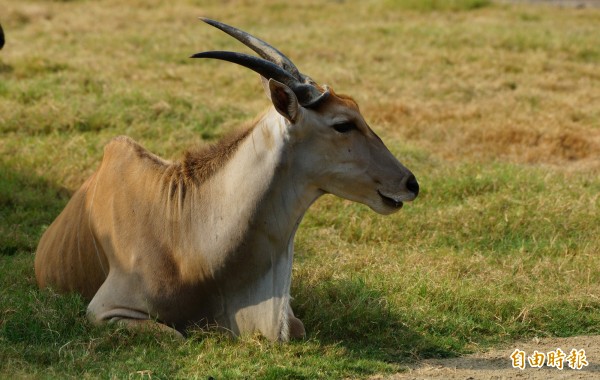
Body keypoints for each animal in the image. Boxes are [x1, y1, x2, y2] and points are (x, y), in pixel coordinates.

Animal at [34, 17, 418, 340]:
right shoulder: (105, 311)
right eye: (343, 124)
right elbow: (175, 335)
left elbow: (297, 326)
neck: (185, 235)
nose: (410, 183)